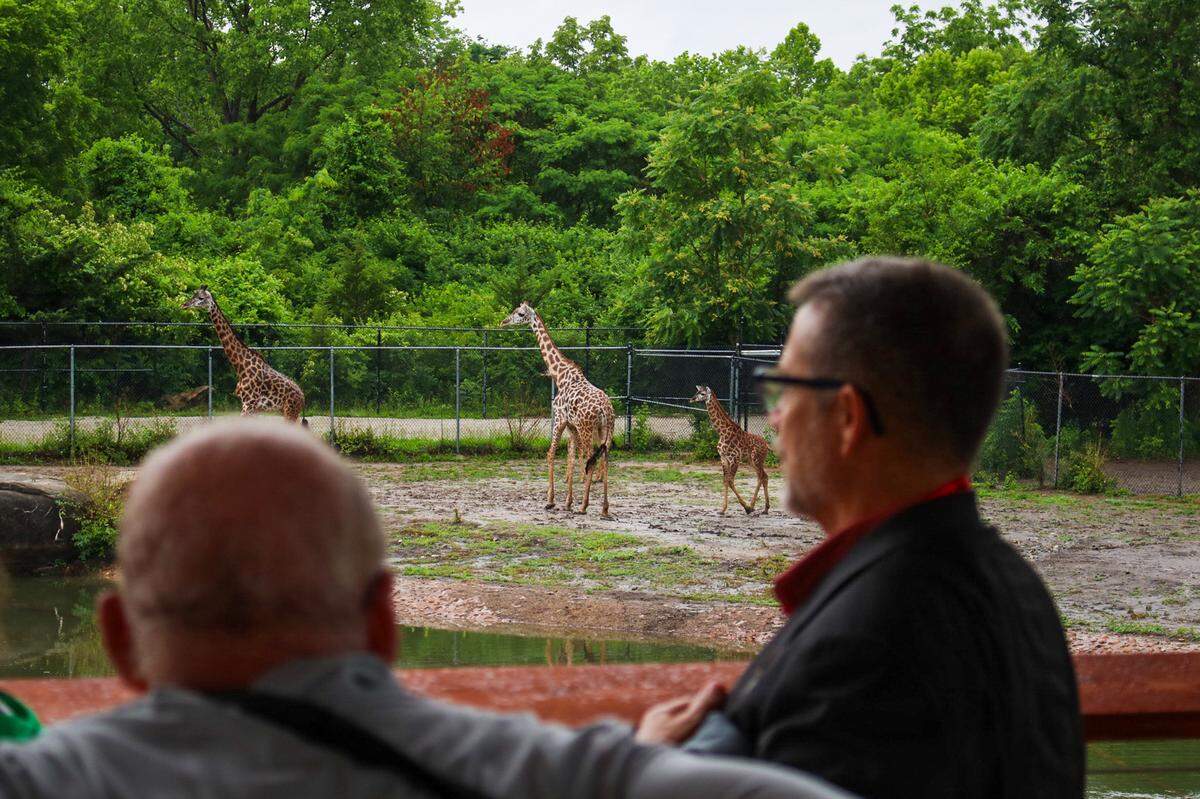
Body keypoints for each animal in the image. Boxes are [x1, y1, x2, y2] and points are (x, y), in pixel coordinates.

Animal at [183, 286, 307, 424]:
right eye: (193, 294)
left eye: (201, 298)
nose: (184, 305)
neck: (241, 366)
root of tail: (303, 397)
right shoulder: (251, 406)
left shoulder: (249, 404)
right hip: (287, 411)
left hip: (290, 410)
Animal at [501, 302, 615, 517]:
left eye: (520, 313)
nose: (504, 322)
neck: (560, 375)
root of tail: (605, 410)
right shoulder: (571, 426)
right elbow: (570, 457)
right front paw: (568, 502)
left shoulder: (559, 420)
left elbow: (551, 454)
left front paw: (551, 500)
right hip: (606, 430)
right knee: (604, 458)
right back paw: (604, 508)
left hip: (588, 429)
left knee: (591, 458)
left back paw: (584, 506)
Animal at [691, 385, 770, 515]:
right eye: (697, 391)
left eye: (702, 393)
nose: (691, 399)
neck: (722, 431)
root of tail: (767, 445)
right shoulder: (723, 458)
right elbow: (725, 480)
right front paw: (722, 509)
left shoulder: (734, 458)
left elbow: (730, 480)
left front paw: (746, 507)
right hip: (750, 460)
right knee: (763, 476)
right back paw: (764, 508)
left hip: (757, 459)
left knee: (762, 476)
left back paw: (753, 506)